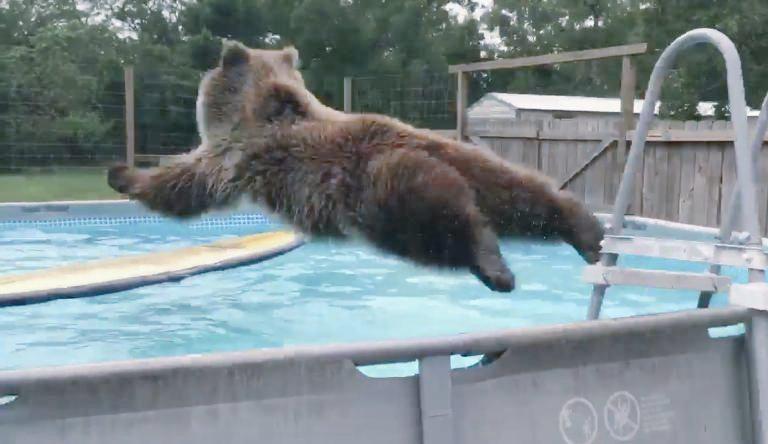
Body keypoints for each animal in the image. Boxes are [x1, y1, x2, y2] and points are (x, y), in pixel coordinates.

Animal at [108, 41, 605, 293]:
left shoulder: (235, 155)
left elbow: (185, 184)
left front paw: (123, 174)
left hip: (383, 193)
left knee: (444, 225)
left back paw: (495, 268)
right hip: (475, 163)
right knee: (525, 197)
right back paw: (587, 233)